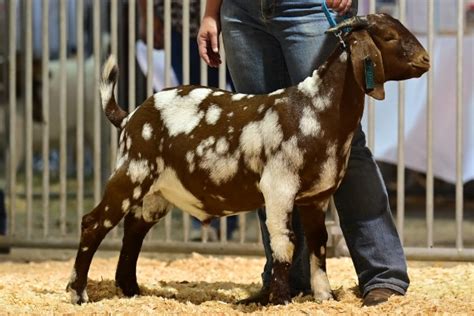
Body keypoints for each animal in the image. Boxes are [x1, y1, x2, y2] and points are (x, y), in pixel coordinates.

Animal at [65, 13, 430, 304]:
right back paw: (78, 292)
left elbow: (318, 245)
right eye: (389, 36)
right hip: (132, 173)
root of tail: (129, 117)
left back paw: (130, 290)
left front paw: (324, 296)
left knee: (133, 229)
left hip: (156, 192)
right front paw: (280, 300)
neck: (315, 110)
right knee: (94, 223)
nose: (426, 60)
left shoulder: (316, 197)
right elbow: (284, 245)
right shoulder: (279, 188)